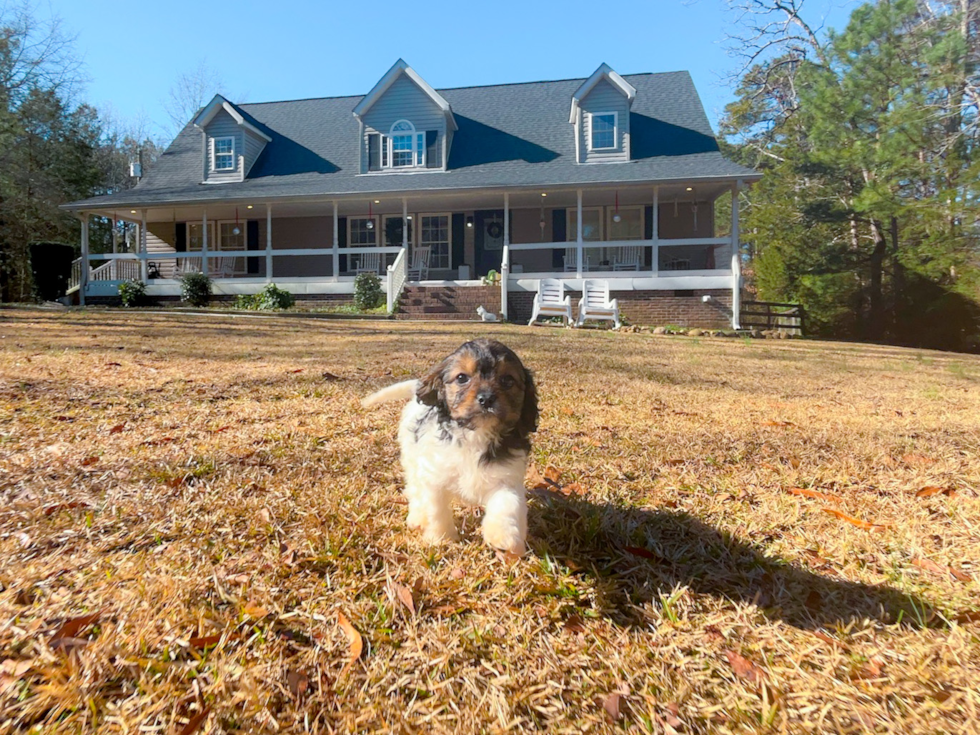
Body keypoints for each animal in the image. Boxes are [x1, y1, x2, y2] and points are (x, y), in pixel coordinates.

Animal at [364, 342, 540, 556]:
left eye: (508, 380)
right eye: (462, 378)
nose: (487, 399)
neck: (476, 434)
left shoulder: (507, 477)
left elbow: (507, 504)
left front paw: (504, 537)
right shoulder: (434, 477)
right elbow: (436, 510)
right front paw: (441, 538)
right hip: (412, 460)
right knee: (414, 488)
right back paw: (417, 517)